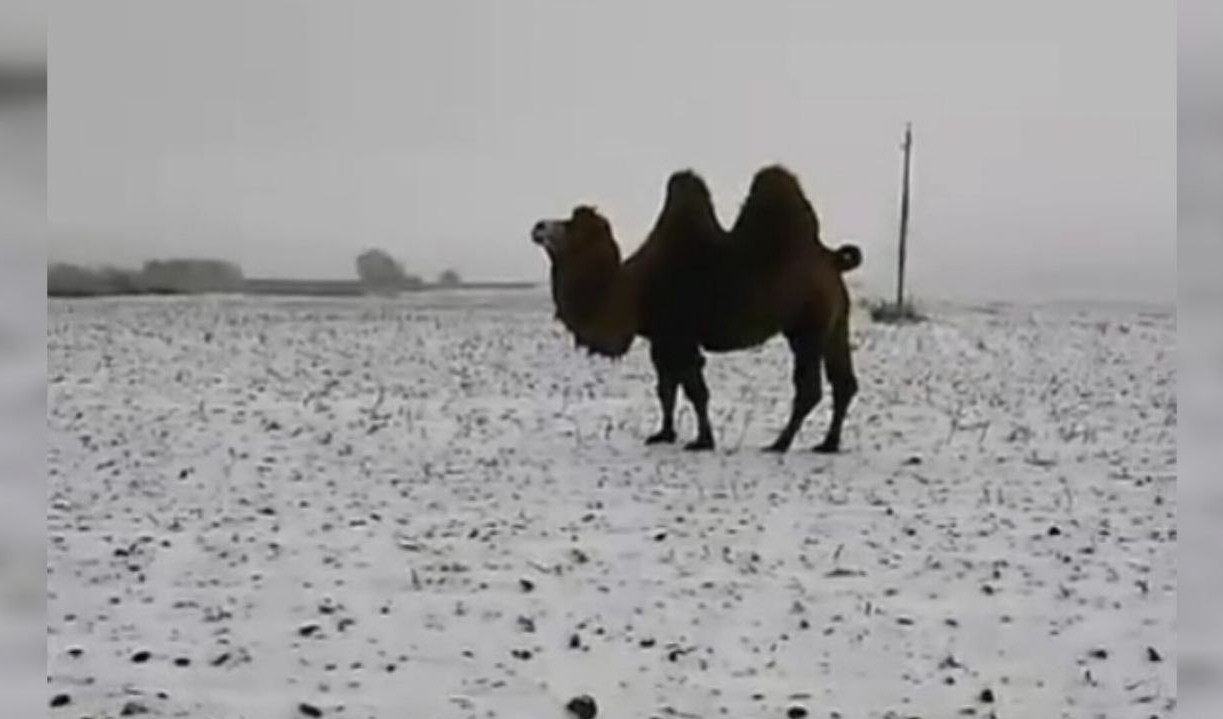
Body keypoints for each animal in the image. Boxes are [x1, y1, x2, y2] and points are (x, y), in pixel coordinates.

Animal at [530, 166, 865, 452]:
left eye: (569, 225)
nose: (538, 226)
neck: (632, 292)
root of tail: (832, 259)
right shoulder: (661, 340)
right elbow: (666, 389)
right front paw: (664, 434)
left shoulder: (679, 336)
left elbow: (695, 391)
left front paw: (702, 441)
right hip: (836, 323)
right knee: (844, 383)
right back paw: (828, 444)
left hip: (806, 327)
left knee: (809, 388)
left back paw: (780, 443)